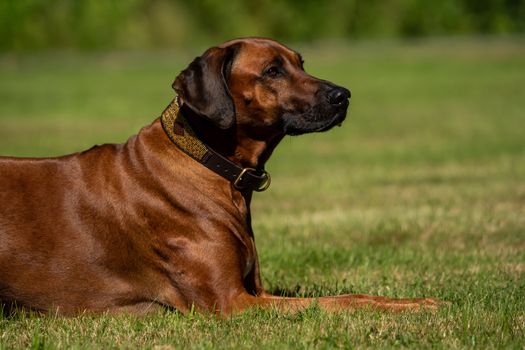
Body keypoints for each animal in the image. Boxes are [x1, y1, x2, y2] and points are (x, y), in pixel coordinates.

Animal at [0, 37, 440, 314]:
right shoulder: (234, 303)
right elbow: (341, 300)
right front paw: (417, 306)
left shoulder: (256, 289)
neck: (209, 165)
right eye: (272, 71)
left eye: (301, 63)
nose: (343, 96)